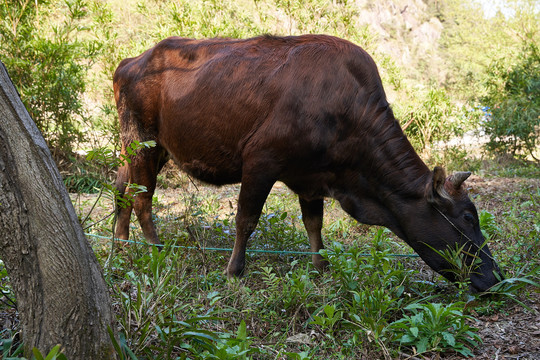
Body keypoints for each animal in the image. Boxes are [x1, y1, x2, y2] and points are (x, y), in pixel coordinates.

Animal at [113, 33, 502, 292]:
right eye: (467, 218)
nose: (495, 276)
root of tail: (131, 61)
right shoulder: (260, 160)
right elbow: (246, 220)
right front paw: (234, 271)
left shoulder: (313, 177)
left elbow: (314, 224)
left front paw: (321, 265)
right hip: (142, 141)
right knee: (142, 198)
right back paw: (156, 251)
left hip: (145, 148)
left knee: (121, 187)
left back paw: (120, 247)